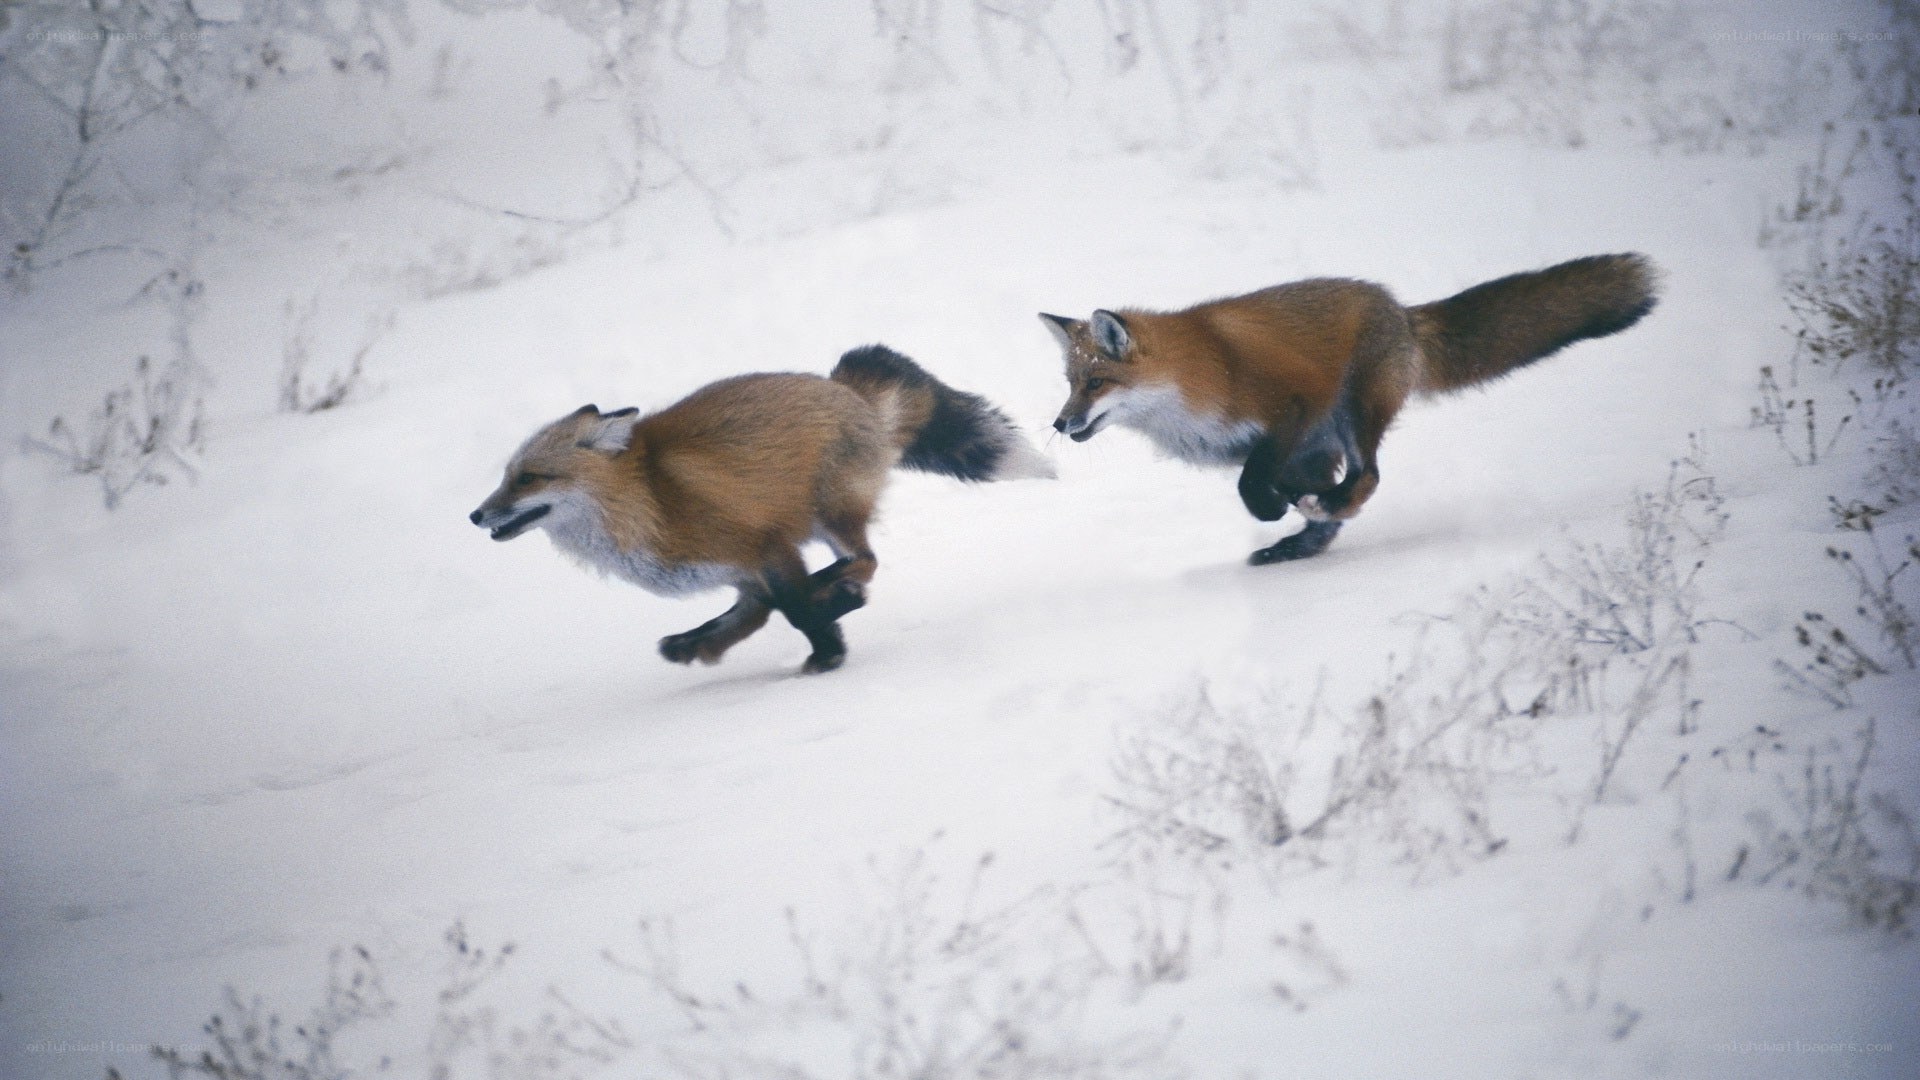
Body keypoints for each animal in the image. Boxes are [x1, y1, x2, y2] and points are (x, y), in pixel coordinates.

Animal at [469, 346, 1053, 674]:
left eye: (527, 478)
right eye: (505, 476)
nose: (475, 517)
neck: (647, 499)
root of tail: (841, 386)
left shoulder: (766, 546)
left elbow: (792, 609)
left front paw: (827, 654)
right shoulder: (740, 572)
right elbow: (750, 614)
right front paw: (698, 645)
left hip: (831, 513)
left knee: (864, 561)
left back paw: (837, 592)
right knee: (835, 574)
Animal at [1041, 252, 1659, 565]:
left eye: (1096, 382)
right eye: (1070, 384)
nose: (1059, 423)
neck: (1189, 386)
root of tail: (1401, 310)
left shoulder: (1295, 404)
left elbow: (1252, 483)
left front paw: (1274, 510)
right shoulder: (1275, 449)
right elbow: (1270, 485)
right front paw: (1287, 516)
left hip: (1353, 411)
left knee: (1369, 478)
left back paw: (1315, 515)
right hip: (1332, 437)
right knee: (1340, 505)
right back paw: (1295, 544)